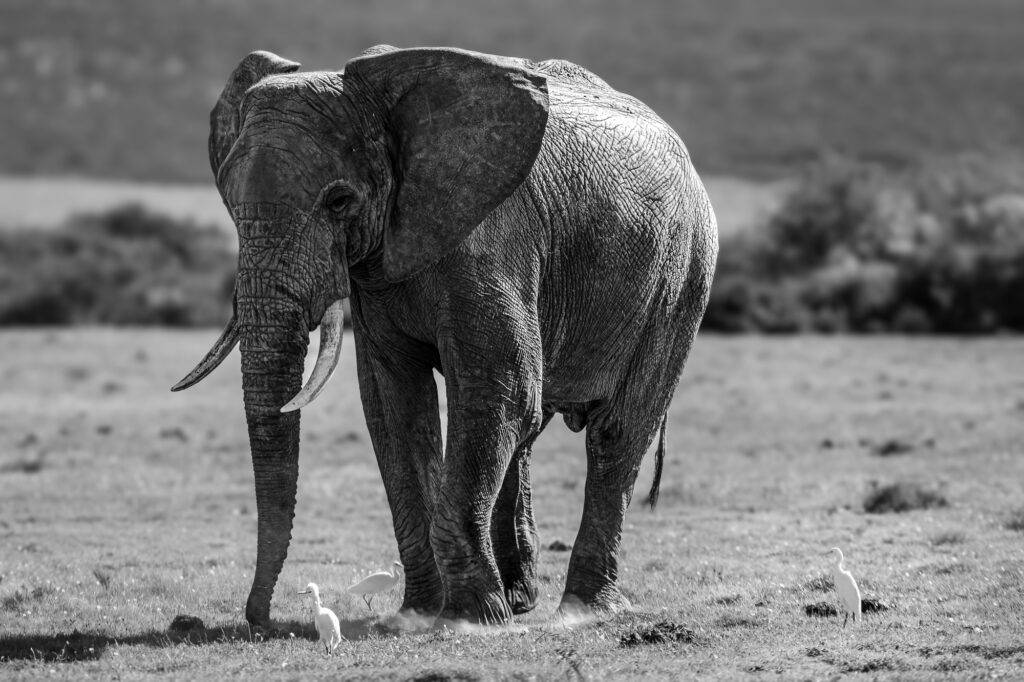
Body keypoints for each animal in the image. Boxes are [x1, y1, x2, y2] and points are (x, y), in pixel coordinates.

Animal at [173, 44, 717, 629]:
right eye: (229, 203)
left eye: (339, 201)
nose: (261, 618)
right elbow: (395, 408)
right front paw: (420, 612)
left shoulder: (493, 239)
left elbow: (500, 393)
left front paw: (471, 618)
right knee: (525, 440)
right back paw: (521, 601)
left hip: (683, 277)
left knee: (616, 432)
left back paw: (583, 609)